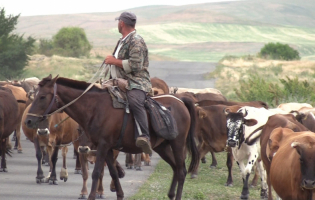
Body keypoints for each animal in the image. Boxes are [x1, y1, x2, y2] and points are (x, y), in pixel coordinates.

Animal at [26, 75, 200, 200]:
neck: (96, 108)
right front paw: (119, 195)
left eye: (42, 96)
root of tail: (180, 101)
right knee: (176, 168)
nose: (28, 120)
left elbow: (96, 172)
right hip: (162, 147)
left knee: (182, 170)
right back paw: (170, 195)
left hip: (177, 143)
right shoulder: (107, 148)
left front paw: (91, 196)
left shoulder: (103, 146)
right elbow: (113, 173)